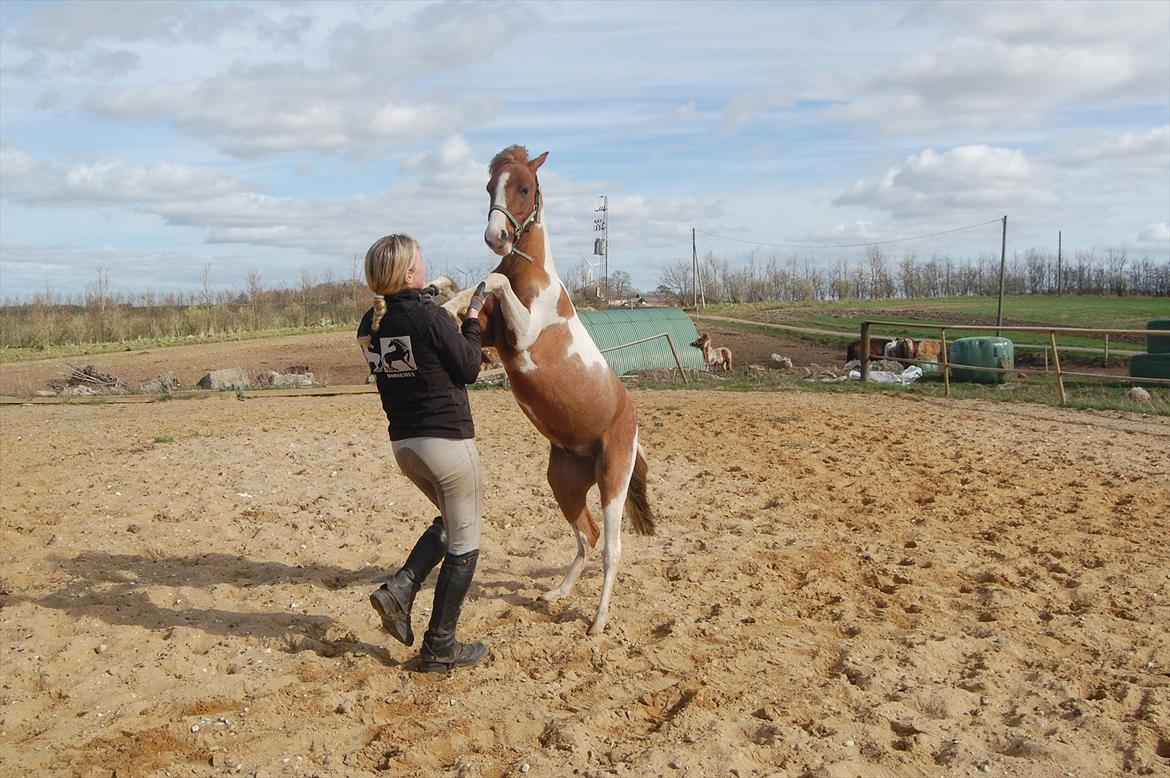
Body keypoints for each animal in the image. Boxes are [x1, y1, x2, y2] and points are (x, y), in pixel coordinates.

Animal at [442, 145, 655, 636]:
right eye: (489, 186)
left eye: (524, 188)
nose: (496, 236)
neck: (530, 275)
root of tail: (632, 424)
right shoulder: (488, 341)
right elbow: (467, 291)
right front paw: (439, 299)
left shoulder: (520, 339)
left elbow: (493, 281)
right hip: (563, 482)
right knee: (586, 536)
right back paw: (556, 594)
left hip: (612, 481)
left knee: (611, 549)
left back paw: (597, 623)